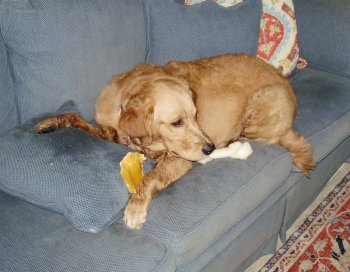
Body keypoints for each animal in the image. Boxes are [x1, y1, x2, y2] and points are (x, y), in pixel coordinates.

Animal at [34, 52, 314, 227]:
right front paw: (51, 122)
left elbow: (149, 177)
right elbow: (77, 119)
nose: (209, 146)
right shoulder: (109, 131)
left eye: (195, 115)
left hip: (256, 113)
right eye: (177, 122)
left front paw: (135, 207)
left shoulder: (179, 159)